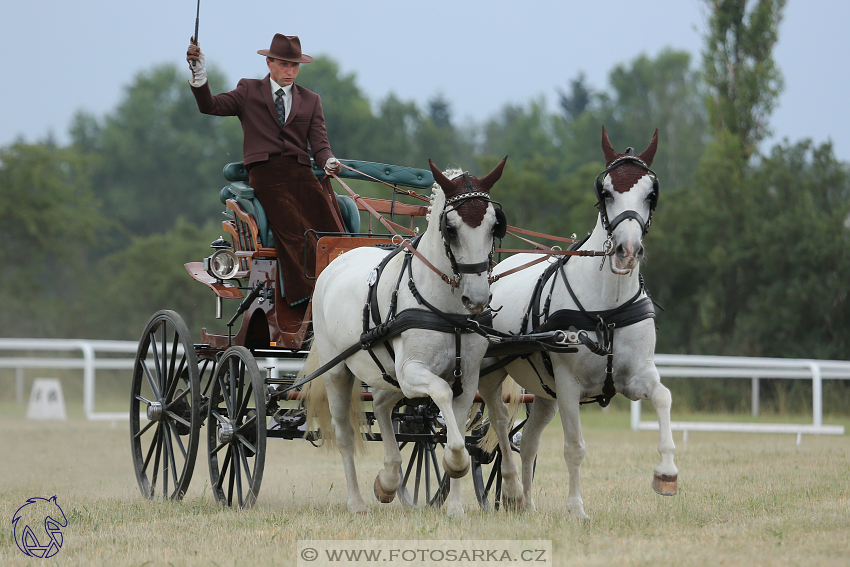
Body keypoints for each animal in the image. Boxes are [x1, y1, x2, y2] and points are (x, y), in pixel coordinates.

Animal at [304, 158, 506, 516]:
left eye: (495, 226)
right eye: (450, 228)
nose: (478, 298)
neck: (447, 311)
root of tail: (336, 261)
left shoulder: (467, 377)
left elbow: (457, 423)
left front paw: (455, 507)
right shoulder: (413, 371)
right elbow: (441, 395)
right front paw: (455, 462)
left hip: (388, 374)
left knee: (382, 404)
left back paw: (387, 480)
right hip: (338, 371)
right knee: (345, 433)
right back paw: (356, 502)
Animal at [476, 129, 676, 520]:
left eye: (651, 193)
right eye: (606, 192)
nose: (627, 252)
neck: (606, 308)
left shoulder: (636, 375)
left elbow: (663, 397)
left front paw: (667, 472)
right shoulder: (569, 385)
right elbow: (575, 447)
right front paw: (576, 509)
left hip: (543, 392)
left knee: (530, 439)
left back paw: (527, 504)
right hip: (493, 374)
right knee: (500, 424)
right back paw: (510, 491)